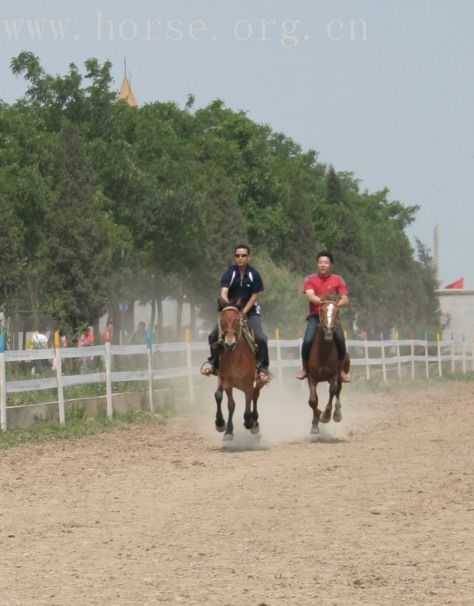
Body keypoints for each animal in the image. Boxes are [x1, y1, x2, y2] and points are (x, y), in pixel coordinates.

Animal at [214, 306, 262, 440]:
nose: (229, 344)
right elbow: (226, 401)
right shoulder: (225, 381)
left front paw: (249, 421)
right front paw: (223, 426)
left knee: (255, 395)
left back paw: (254, 423)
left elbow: (248, 401)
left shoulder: (248, 383)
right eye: (222, 320)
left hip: (259, 380)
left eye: (236, 320)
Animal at [308, 292, 348, 434]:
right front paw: (315, 422)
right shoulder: (311, 377)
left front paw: (325, 416)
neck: (323, 352)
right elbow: (313, 401)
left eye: (337, 311)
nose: (329, 329)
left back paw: (337, 414)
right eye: (321, 310)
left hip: (342, 375)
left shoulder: (334, 375)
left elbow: (332, 391)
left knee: (338, 392)